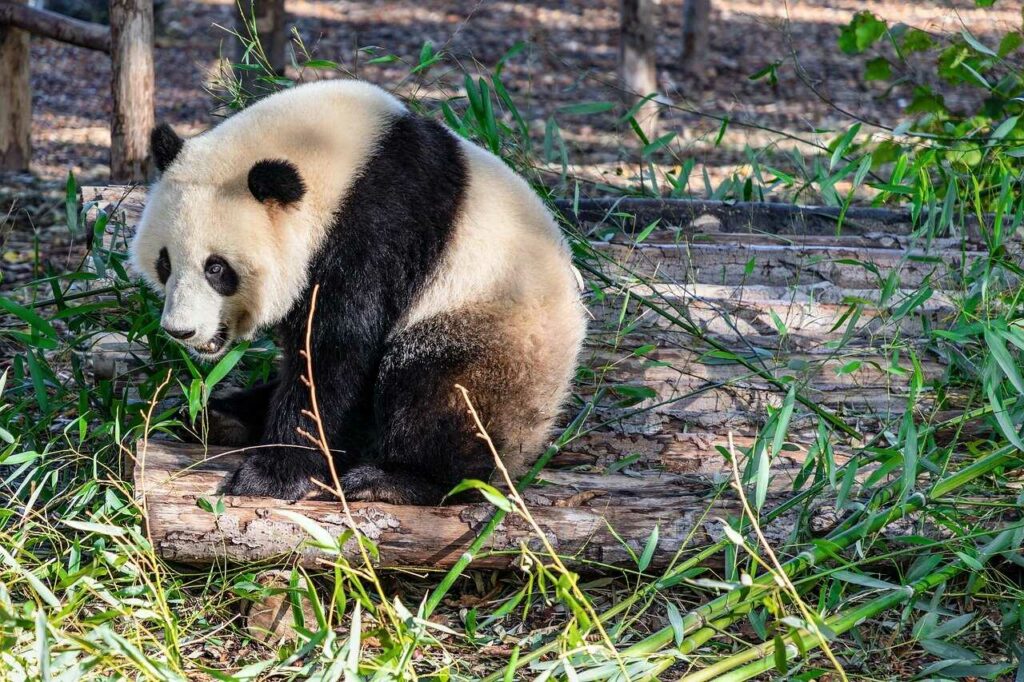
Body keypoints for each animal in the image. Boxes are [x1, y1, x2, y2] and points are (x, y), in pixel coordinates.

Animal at [130, 79, 585, 503]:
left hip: (490, 328)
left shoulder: (377, 228)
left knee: (438, 392)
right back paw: (220, 417)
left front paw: (271, 476)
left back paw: (394, 480)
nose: (181, 331)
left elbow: (337, 351)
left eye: (217, 268)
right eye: (165, 263)